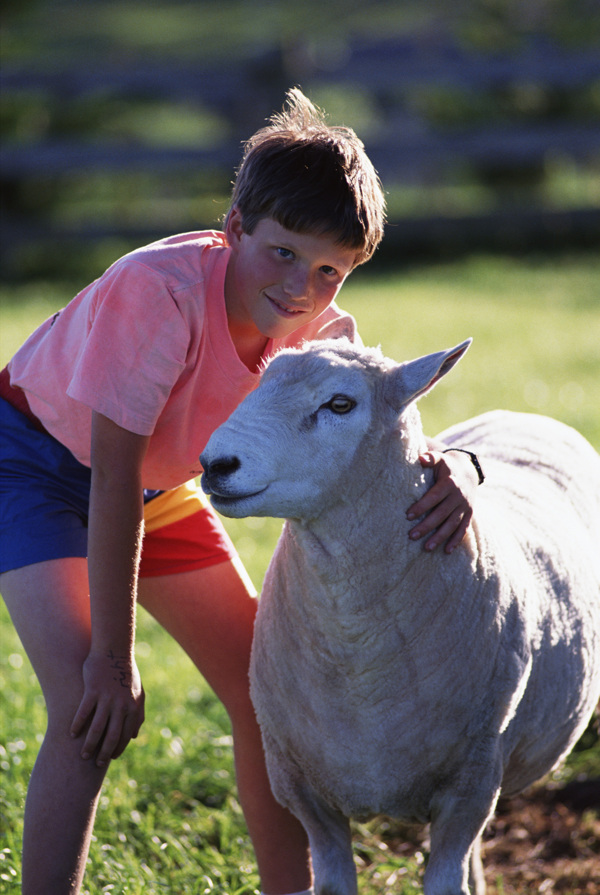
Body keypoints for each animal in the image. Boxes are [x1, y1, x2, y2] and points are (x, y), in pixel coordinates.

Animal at [200, 338, 600, 895]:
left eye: (340, 404)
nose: (215, 464)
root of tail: (521, 414)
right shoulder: (301, 790)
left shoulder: (471, 781)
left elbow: (445, 880)